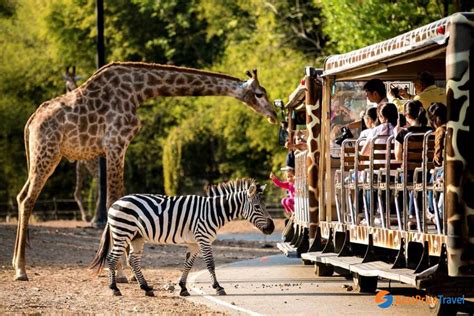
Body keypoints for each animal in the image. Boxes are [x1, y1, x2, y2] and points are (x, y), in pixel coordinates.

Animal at [12, 61, 276, 278]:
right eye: (260, 93)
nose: (274, 115)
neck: (139, 91)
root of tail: (30, 122)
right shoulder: (115, 143)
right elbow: (113, 200)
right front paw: (119, 272)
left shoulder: (117, 147)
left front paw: (124, 269)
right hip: (48, 153)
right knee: (28, 199)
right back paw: (21, 270)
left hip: (39, 156)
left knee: (21, 195)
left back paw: (17, 264)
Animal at [90, 179, 274, 298]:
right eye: (257, 207)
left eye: (264, 206)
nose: (272, 228)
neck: (213, 212)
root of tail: (116, 203)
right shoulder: (203, 239)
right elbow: (210, 264)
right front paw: (218, 287)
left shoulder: (194, 243)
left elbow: (188, 264)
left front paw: (183, 288)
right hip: (123, 232)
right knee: (112, 258)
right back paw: (115, 289)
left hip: (137, 237)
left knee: (133, 260)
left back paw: (146, 288)